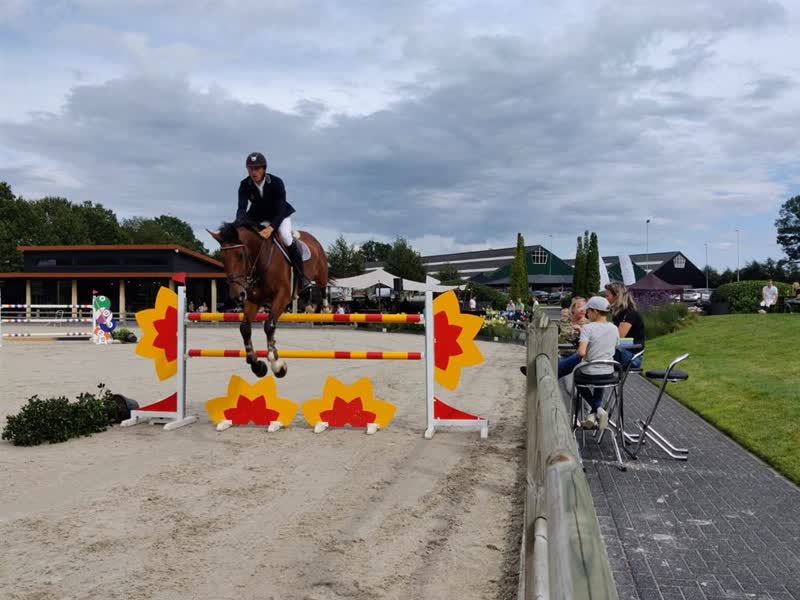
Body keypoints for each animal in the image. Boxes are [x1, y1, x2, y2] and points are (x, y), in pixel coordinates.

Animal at [208, 221, 329, 378]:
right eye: (223, 257)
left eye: (240, 255)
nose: (237, 295)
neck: (261, 262)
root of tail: (311, 237)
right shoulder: (254, 300)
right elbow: (245, 328)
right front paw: (257, 365)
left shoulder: (282, 296)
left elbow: (269, 325)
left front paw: (277, 364)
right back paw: (310, 305)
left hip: (321, 273)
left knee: (322, 287)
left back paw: (324, 308)